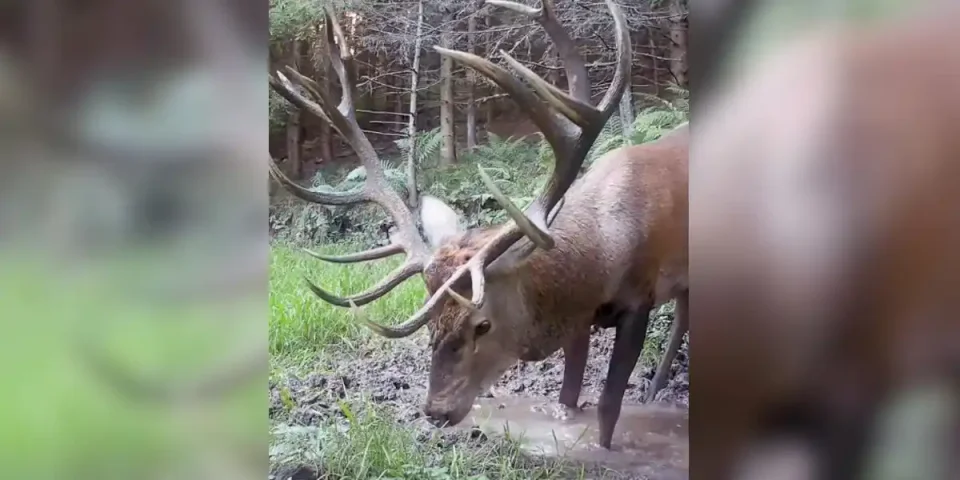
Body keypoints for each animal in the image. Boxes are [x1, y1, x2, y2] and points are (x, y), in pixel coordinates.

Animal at [265, 0, 688, 450]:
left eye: (482, 323)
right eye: (431, 321)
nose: (436, 411)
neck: (603, 255)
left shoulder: (639, 298)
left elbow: (608, 408)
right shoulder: (578, 316)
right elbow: (567, 396)